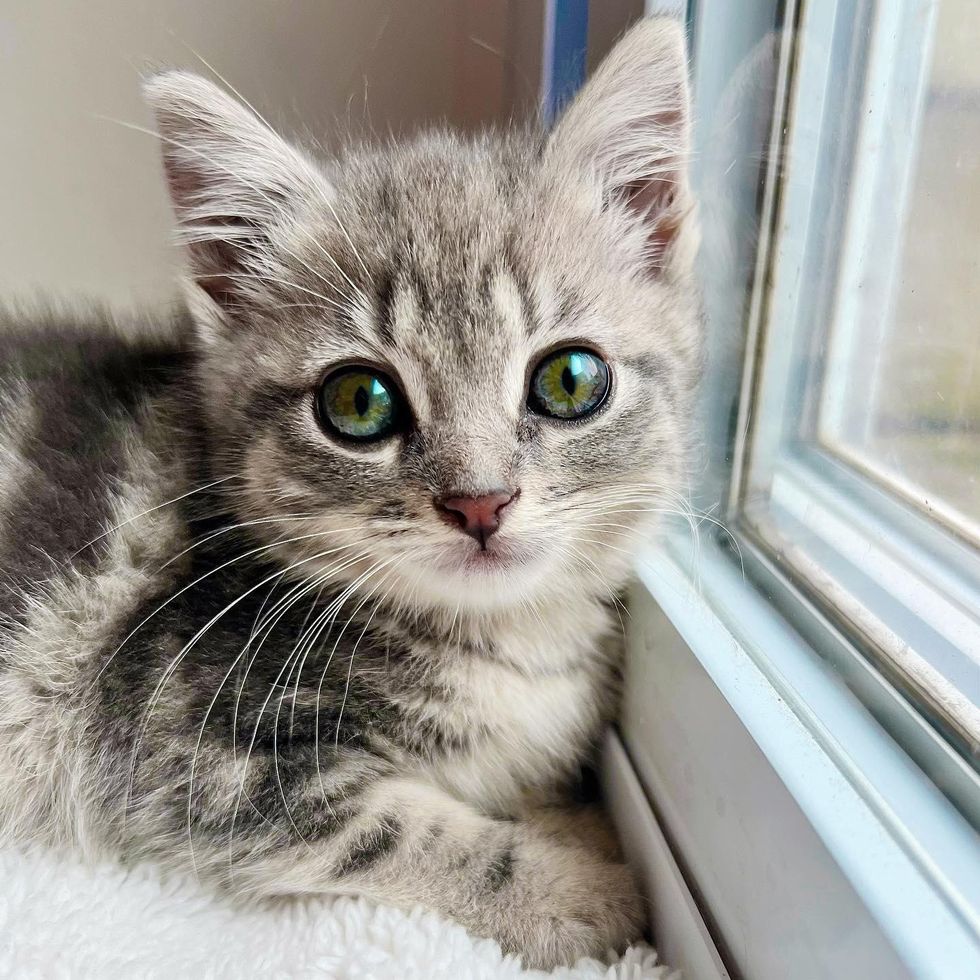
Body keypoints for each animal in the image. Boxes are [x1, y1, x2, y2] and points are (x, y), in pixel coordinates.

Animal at [0, 17, 696, 972]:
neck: (505, 637)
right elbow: (404, 833)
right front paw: (578, 886)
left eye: (570, 379)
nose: (481, 503)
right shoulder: (192, 754)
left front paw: (570, 825)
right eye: (358, 402)